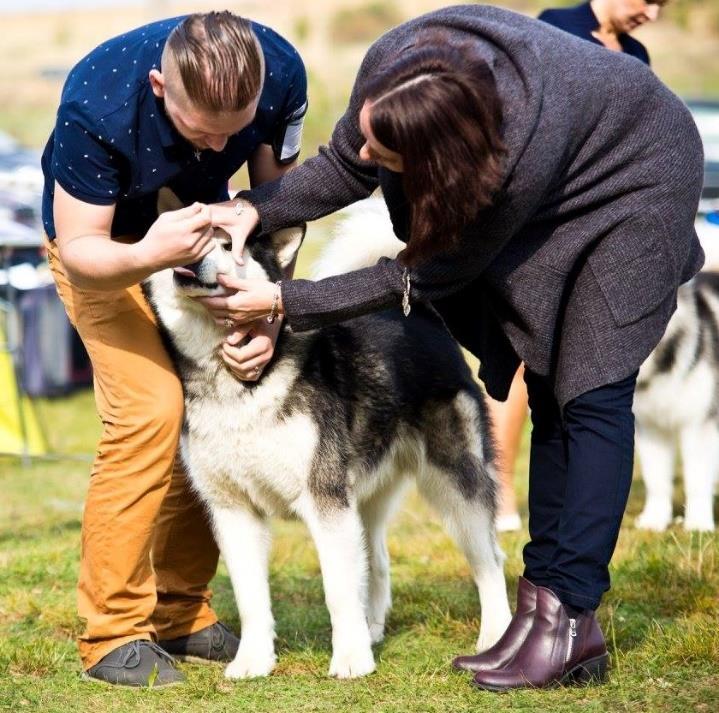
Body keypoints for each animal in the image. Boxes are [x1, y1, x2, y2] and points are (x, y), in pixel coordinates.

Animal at [143, 193, 510, 680]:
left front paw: (351, 659)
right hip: (364, 496)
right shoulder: (233, 510)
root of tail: (420, 316)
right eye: (192, 235)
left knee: (489, 560)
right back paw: (374, 628)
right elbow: (251, 597)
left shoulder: (325, 500)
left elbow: (338, 590)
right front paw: (254, 661)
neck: (234, 379)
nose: (191, 259)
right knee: (377, 558)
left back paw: (495, 636)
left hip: (455, 483)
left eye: (225, 244)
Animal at [636, 270, 719, 532]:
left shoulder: (699, 422)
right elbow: (656, 478)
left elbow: (697, 478)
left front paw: (699, 523)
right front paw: (655, 520)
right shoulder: (649, 427)